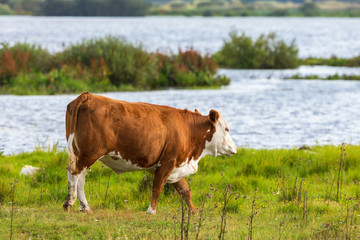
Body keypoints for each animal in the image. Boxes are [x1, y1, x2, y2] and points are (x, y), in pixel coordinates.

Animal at [63, 92, 238, 214]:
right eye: (227, 129)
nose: (235, 149)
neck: (187, 130)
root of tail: (88, 95)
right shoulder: (167, 162)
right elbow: (157, 188)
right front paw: (151, 211)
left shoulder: (176, 165)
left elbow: (185, 191)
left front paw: (193, 212)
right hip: (88, 153)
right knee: (74, 174)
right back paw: (69, 203)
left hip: (84, 153)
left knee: (81, 178)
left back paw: (85, 207)